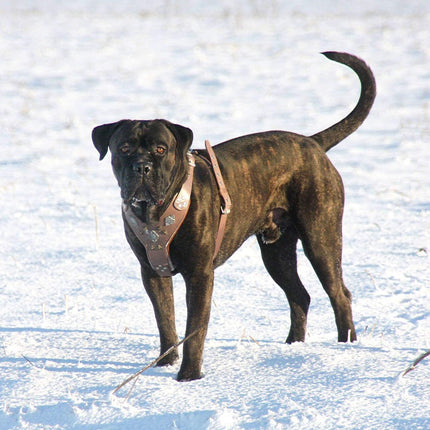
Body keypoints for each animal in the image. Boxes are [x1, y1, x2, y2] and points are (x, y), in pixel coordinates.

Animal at [92, 52, 374, 382]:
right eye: (123, 148)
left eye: (161, 149)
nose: (141, 166)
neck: (154, 212)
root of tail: (313, 143)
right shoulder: (152, 272)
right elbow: (166, 322)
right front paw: (166, 364)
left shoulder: (199, 274)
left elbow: (194, 329)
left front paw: (188, 375)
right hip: (276, 252)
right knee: (299, 295)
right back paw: (292, 346)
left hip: (321, 239)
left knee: (339, 295)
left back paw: (344, 348)